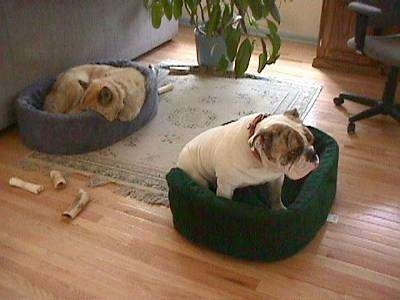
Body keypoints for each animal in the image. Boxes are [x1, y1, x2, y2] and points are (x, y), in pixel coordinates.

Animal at [177, 109, 318, 210]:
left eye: (312, 139)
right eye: (293, 152)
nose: (312, 154)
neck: (262, 163)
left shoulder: (277, 178)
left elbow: (275, 195)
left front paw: (279, 209)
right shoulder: (225, 187)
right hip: (198, 177)